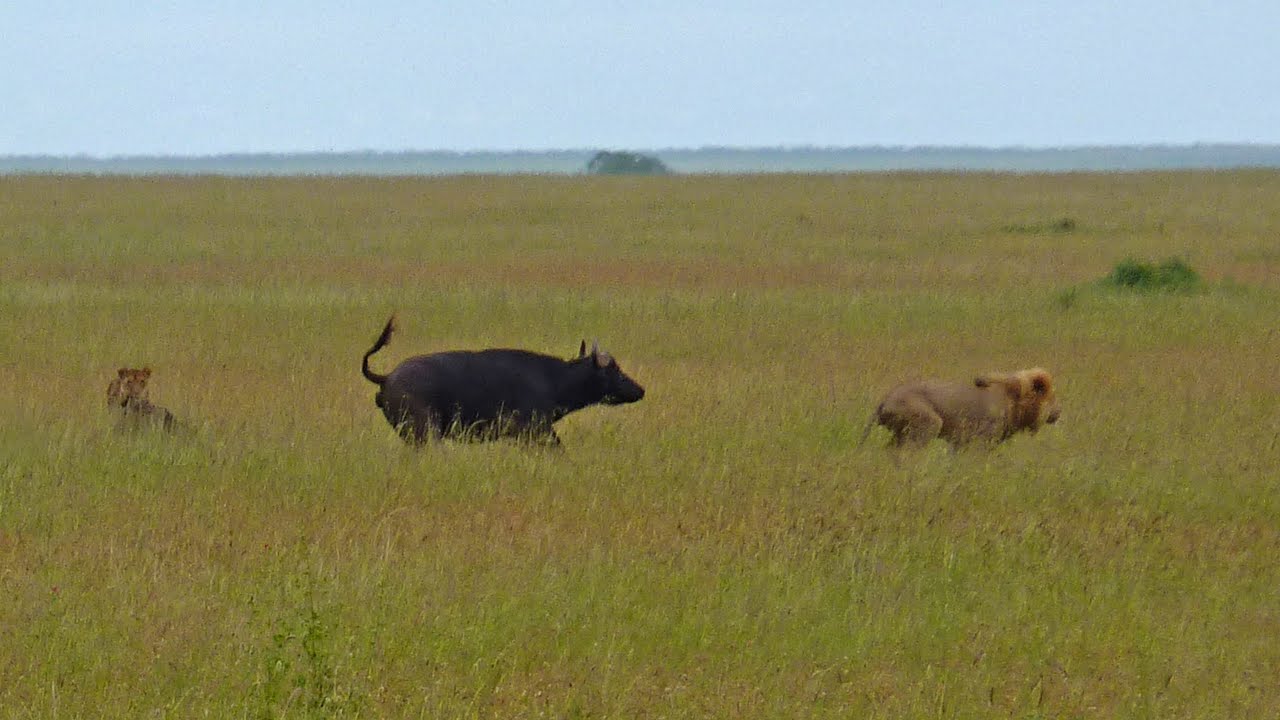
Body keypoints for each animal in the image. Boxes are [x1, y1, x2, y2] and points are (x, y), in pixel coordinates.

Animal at [860, 368, 1060, 450]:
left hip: (901, 433)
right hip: (927, 425)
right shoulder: (980, 441)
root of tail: (885, 400)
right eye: (1052, 398)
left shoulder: (960, 443)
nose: (1059, 412)